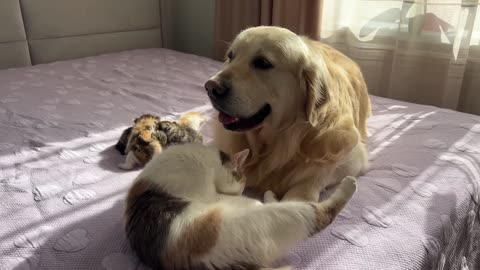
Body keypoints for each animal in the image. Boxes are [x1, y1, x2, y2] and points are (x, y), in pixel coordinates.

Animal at [124, 143, 356, 270]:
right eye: (241, 182)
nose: (241, 190)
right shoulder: (208, 192)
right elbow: (236, 199)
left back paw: (270, 194)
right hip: (274, 219)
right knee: (321, 214)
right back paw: (349, 184)